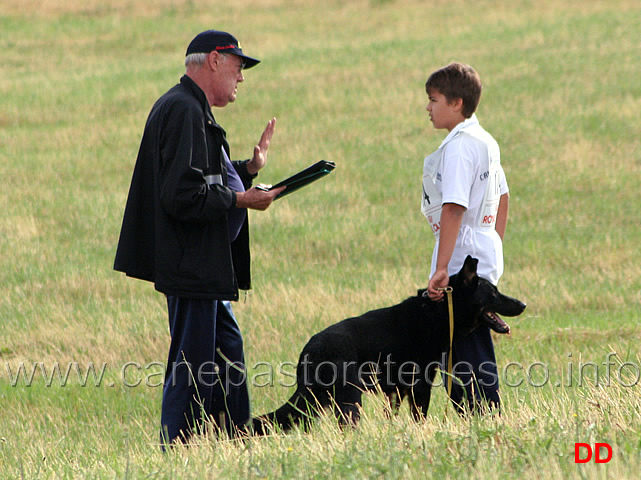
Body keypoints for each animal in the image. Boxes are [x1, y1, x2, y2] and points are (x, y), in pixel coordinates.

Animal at [251, 258, 524, 436]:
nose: (523, 304)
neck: (437, 312)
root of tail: (310, 349)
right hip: (349, 399)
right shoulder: (419, 387)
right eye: (493, 293)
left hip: (316, 400)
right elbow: (419, 418)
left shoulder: (397, 392)